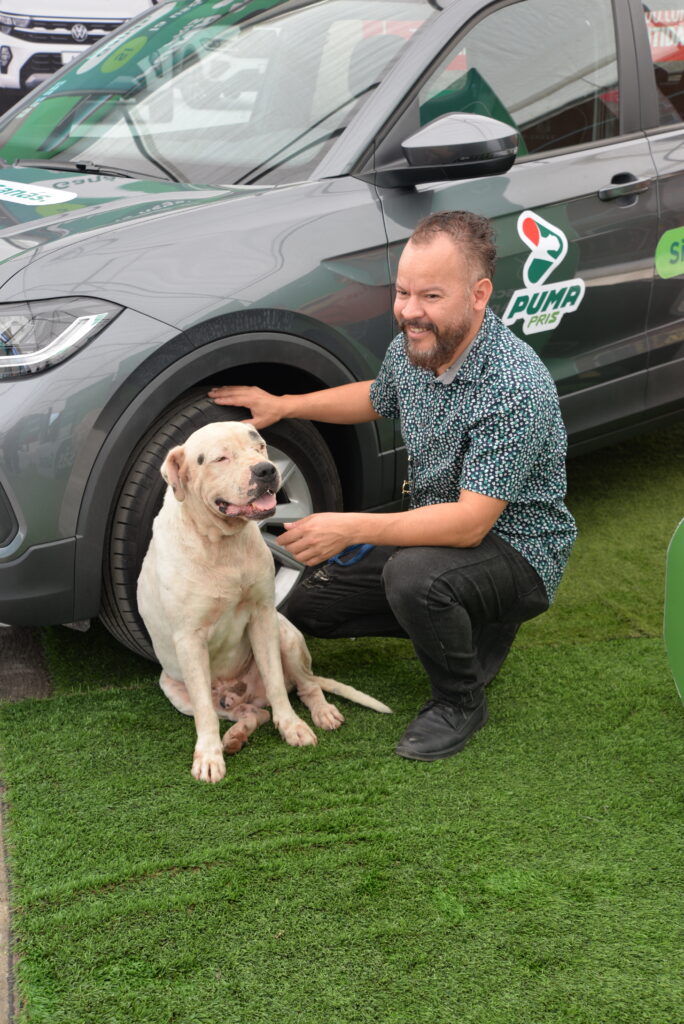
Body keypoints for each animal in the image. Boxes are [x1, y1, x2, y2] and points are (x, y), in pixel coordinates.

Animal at [137, 420, 391, 782]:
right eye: (221, 457)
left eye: (259, 447)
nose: (266, 469)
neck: (221, 543)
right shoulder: (189, 639)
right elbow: (205, 713)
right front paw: (209, 756)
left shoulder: (262, 616)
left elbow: (275, 684)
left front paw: (292, 726)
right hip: (176, 689)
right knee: (248, 713)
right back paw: (234, 736)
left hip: (286, 637)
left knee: (306, 686)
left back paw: (322, 712)